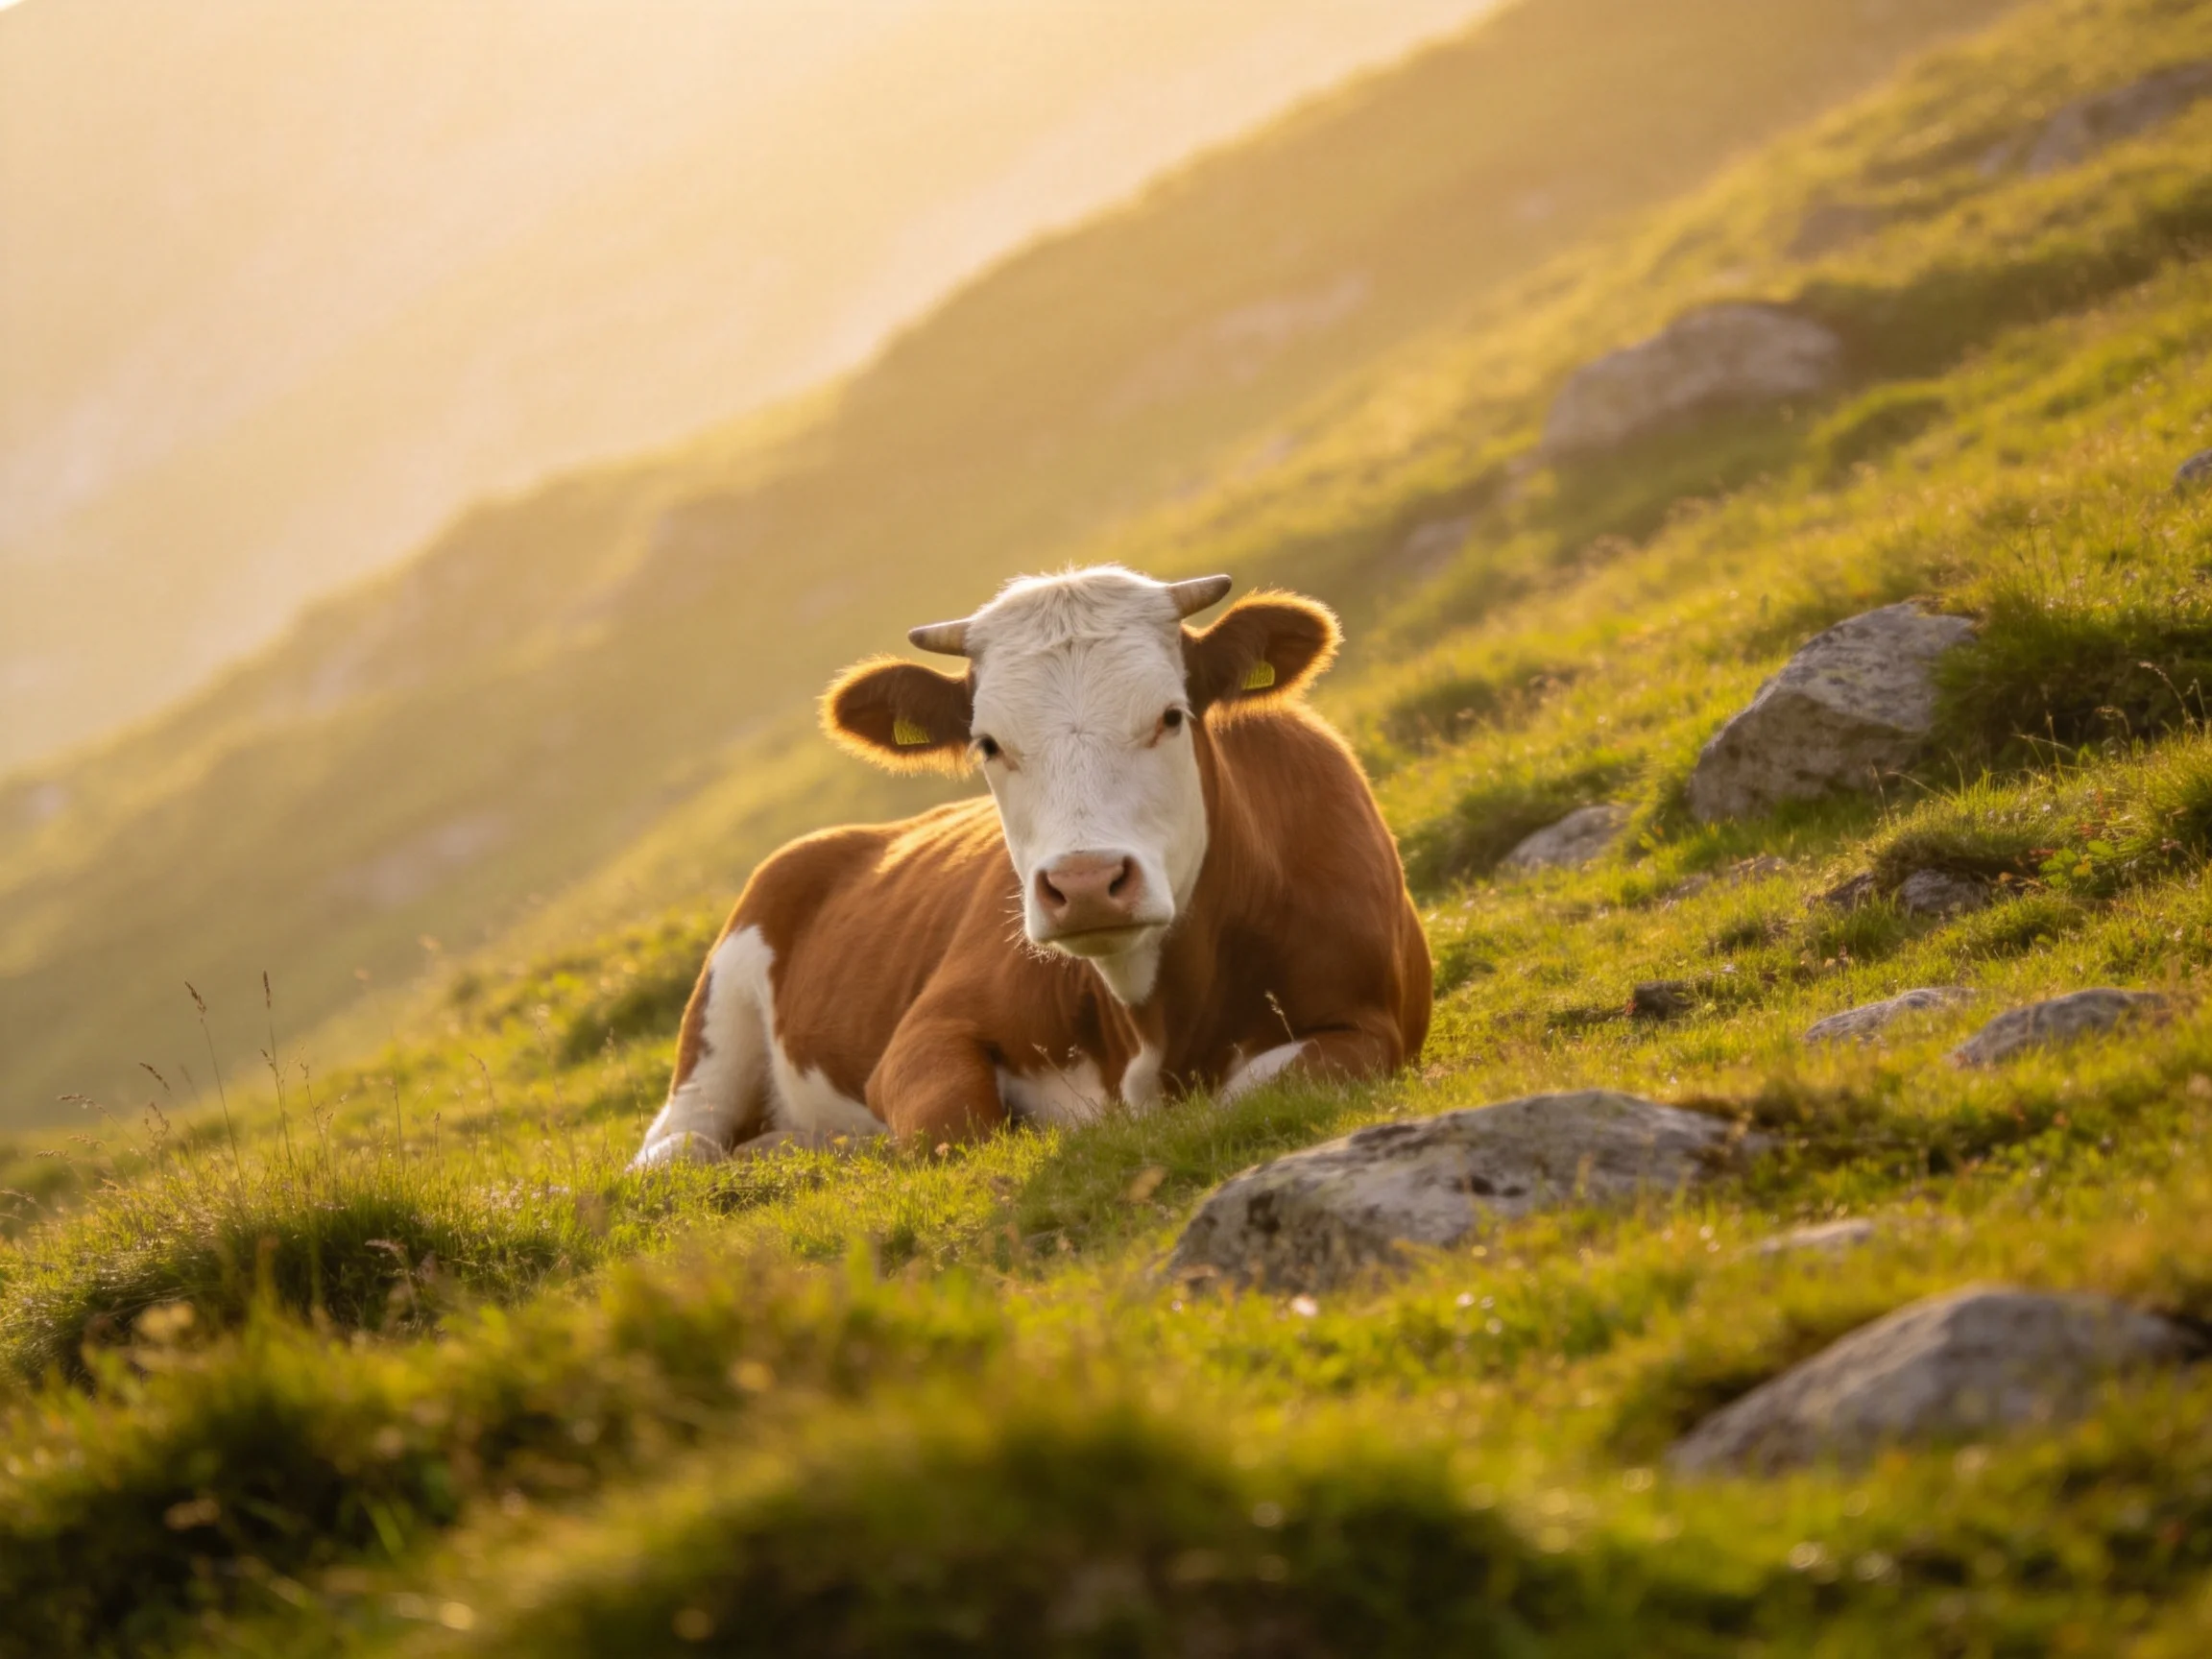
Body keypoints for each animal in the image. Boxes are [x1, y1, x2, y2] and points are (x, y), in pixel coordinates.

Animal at [630, 565, 1430, 1166]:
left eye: (1172, 716)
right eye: (988, 743)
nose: (1086, 884)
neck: (1151, 1030)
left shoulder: (1371, 1029)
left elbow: (1258, 1090)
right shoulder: (924, 1033)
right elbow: (957, 1124)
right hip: (714, 1036)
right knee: (680, 1147)